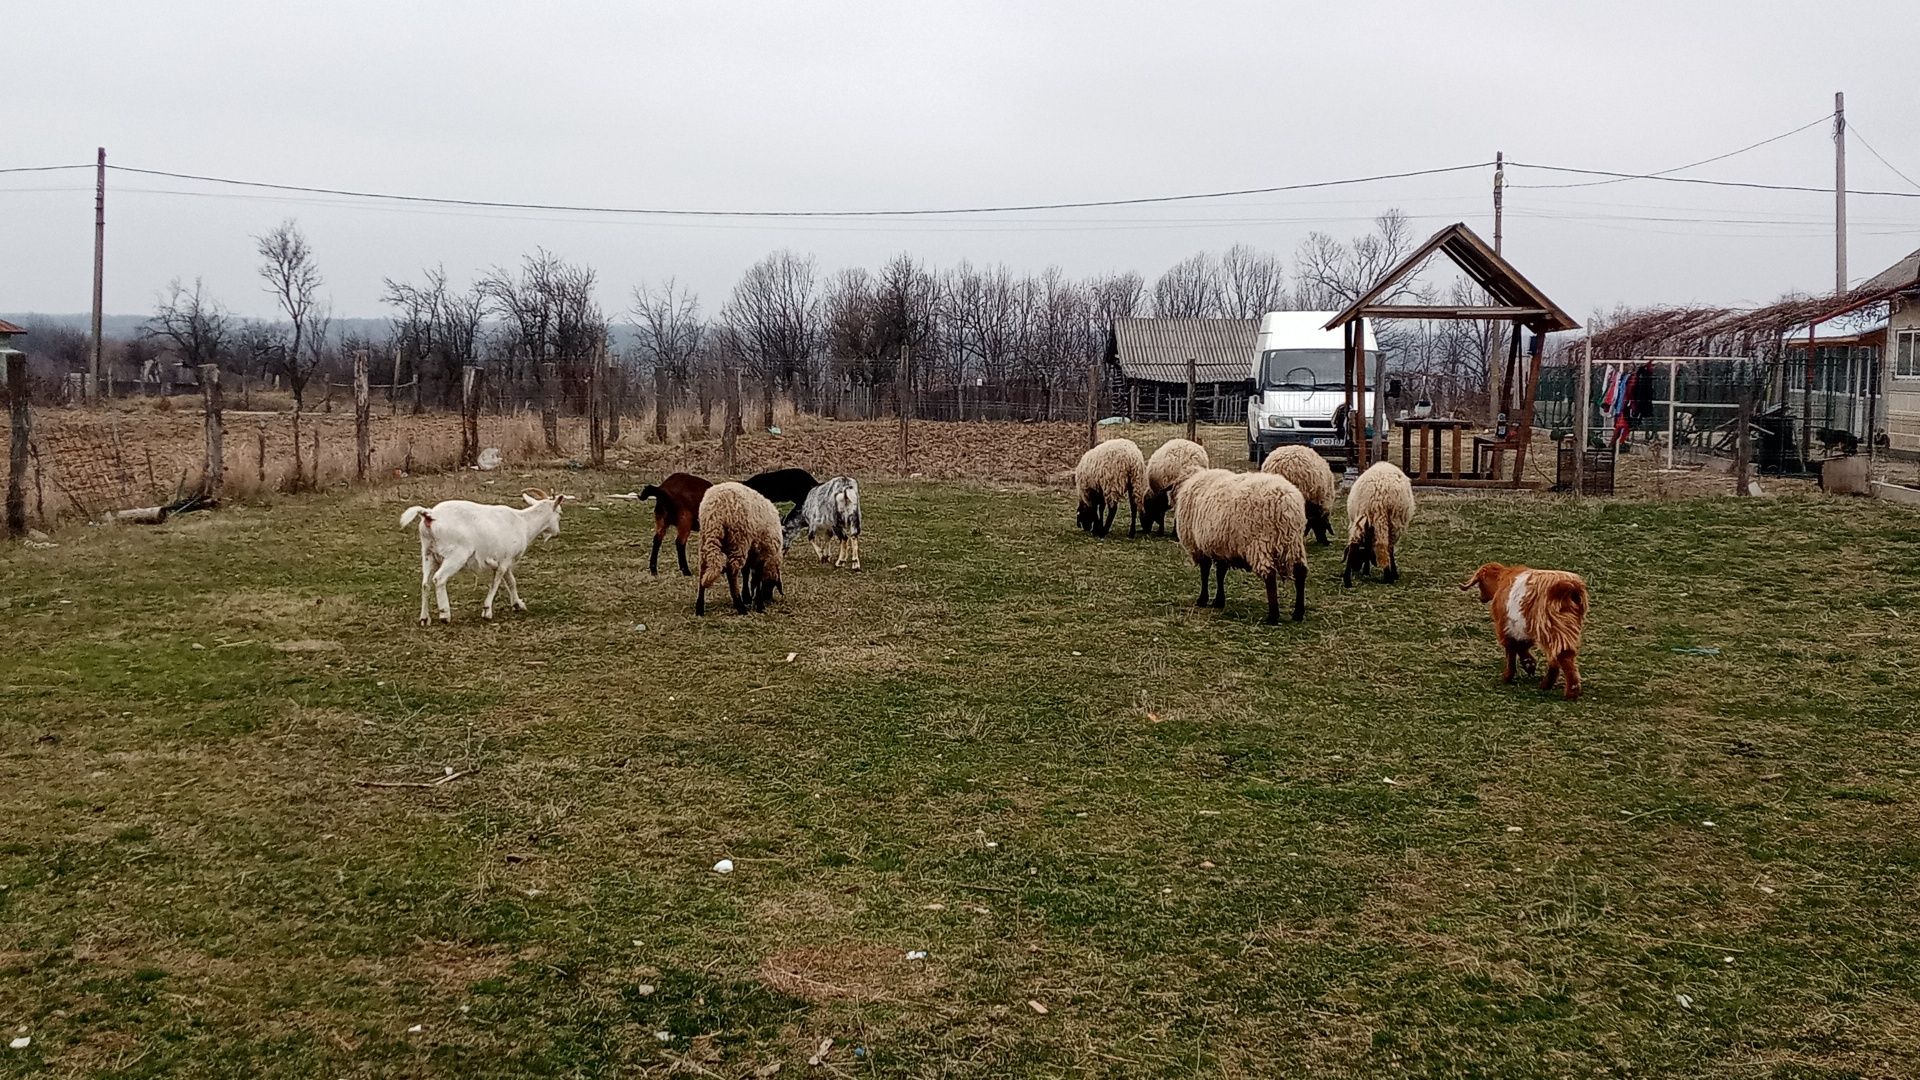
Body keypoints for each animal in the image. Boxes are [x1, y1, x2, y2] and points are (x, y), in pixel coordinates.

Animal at [393, 488, 564, 622]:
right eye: (560, 513)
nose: (557, 532)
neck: (523, 523)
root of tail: (429, 515)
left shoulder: (506, 560)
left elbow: (511, 581)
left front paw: (518, 604)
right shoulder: (503, 561)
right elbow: (496, 582)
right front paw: (487, 610)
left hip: (428, 554)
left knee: (425, 583)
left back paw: (424, 618)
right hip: (456, 555)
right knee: (439, 579)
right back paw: (444, 614)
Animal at [695, 478, 783, 614]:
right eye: (772, 583)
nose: (768, 598)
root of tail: (715, 511)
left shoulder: (753, 553)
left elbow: (747, 573)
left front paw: (747, 597)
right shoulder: (762, 552)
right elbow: (757, 578)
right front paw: (759, 604)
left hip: (706, 538)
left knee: (703, 570)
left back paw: (699, 607)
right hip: (739, 540)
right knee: (732, 571)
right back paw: (740, 606)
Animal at [1159, 468, 1313, 626]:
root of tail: (1286, 503)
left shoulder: (1199, 547)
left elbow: (1205, 572)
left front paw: (1202, 599)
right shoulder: (1222, 549)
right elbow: (1220, 574)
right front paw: (1219, 601)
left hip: (1260, 543)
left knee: (1269, 576)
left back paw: (1273, 616)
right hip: (1293, 542)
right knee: (1300, 572)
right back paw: (1298, 613)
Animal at [1459, 557, 1597, 703]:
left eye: (1480, 584)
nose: (1481, 598)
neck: (1502, 581)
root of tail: (1571, 587)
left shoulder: (1506, 627)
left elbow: (1512, 650)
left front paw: (1510, 674)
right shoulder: (1523, 628)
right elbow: (1521, 646)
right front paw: (1529, 665)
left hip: (1554, 628)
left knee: (1562, 655)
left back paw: (1569, 692)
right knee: (1558, 656)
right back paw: (1547, 685)